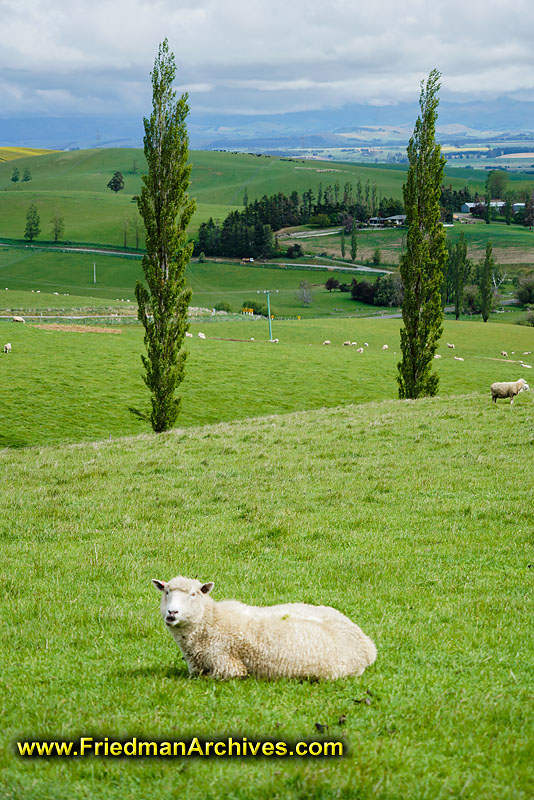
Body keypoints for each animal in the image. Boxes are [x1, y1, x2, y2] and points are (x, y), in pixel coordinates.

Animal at [151, 576, 376, 680]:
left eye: (193, 594)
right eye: (167, 592)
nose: (172, 612)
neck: (212, 621)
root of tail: (367, 646)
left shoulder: (228, 667)